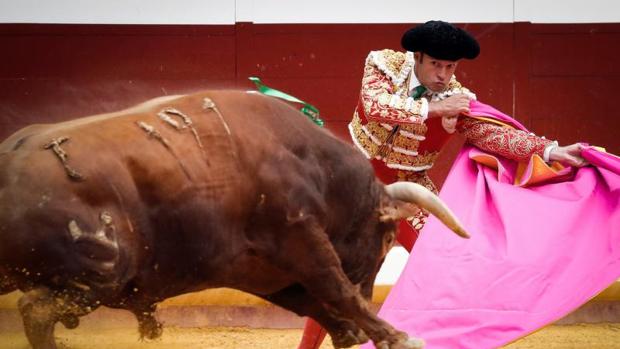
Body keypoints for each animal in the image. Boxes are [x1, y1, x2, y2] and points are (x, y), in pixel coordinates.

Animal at [0, 91, 468, 348]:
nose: (372, 293)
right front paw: (396, 335)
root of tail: (12, 159)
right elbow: (336, 289)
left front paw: (349, 333)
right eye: (387, 239)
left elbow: (311, 301)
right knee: (34, 310)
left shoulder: (258, 270)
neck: (315, 166)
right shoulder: (300, 234)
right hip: (102, 273)